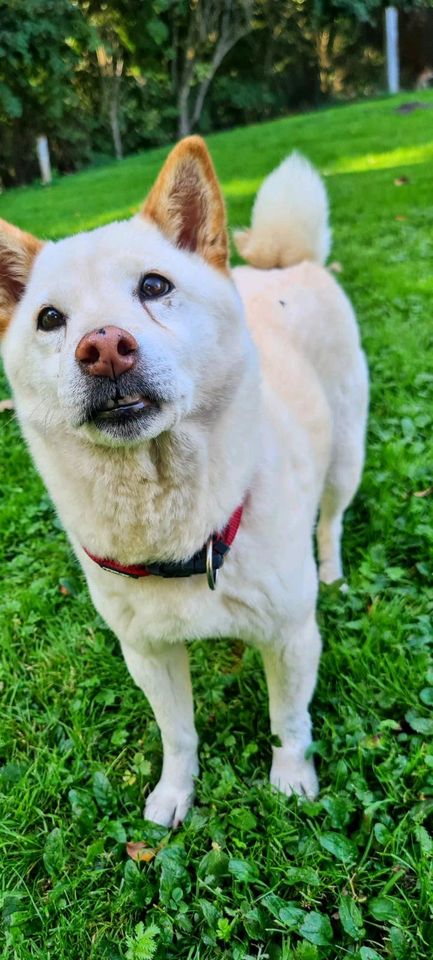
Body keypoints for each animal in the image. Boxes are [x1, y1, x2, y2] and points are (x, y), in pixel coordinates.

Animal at [0, 139, 366, 828]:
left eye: (154, 285)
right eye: (50, 318)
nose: (103, 347)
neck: (177, 529)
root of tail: (285, 264)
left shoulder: (292, 636)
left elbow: (288, 721)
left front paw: (291, 782)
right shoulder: (146, 653)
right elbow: (178, 734)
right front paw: (176, 795)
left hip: (346, 457)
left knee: (330, 520)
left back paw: (332, 570)